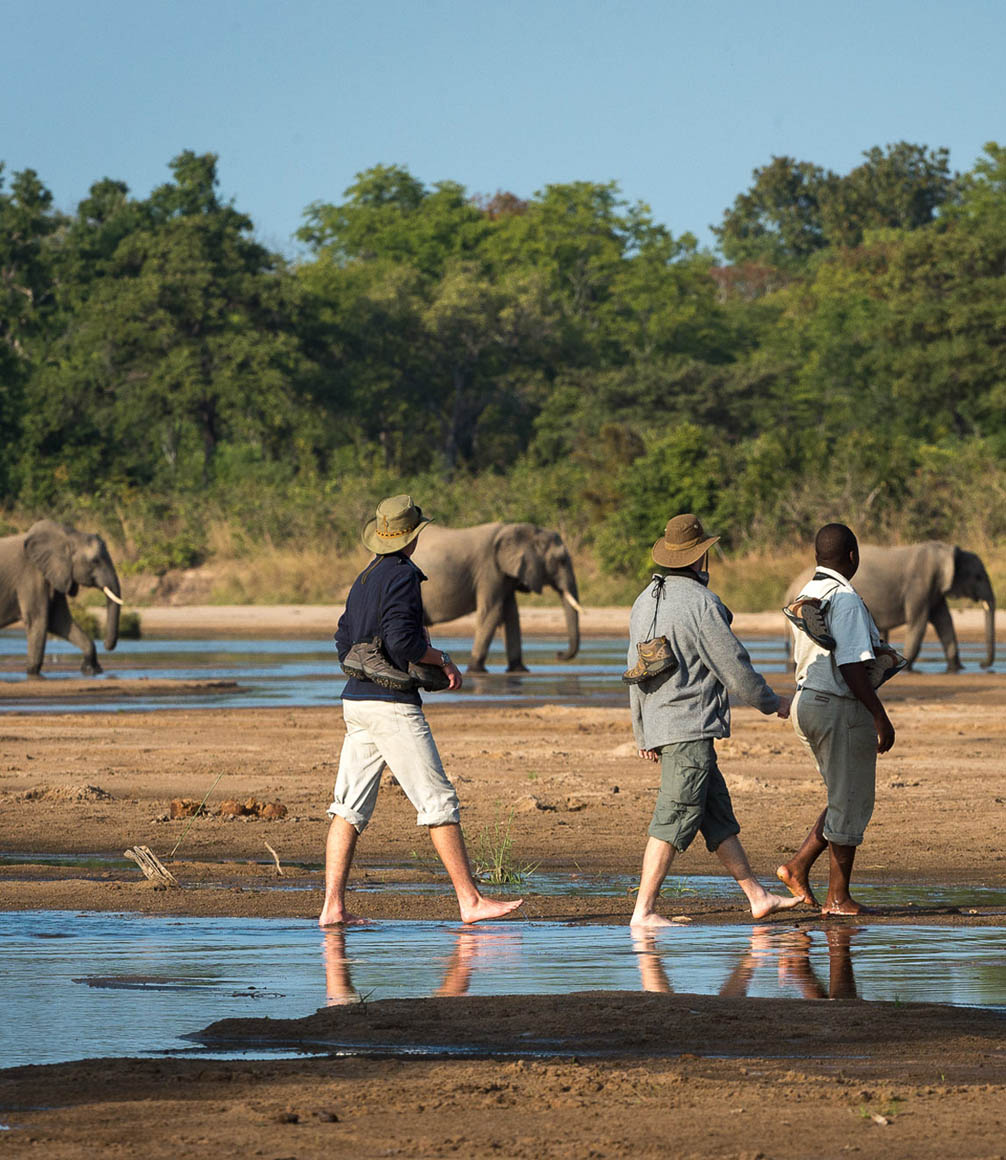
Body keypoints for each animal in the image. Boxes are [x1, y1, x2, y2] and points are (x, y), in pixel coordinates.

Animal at [0, 519, 124, 677]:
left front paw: (91, 670)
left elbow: (59, 621)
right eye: (95, 561)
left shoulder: (57, 574)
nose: (106, 645)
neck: (68, 537)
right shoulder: (31, 575)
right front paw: (33, 673)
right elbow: (39, 619)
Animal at [408, 524, 582, 677]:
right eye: (560, 560)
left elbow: (511, 615)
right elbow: (492, 611)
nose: (558, 654)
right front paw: (476, 671)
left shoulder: (506, 575)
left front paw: (519, 670)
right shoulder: (490, 570)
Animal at [789, 540, 993, 672]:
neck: (948, 551)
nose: (982, 664)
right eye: (978, 577)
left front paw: (956, 668)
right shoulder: (919, 584)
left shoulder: (933, 590)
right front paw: (908, 667)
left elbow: (944, 622)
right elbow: (919, 622)